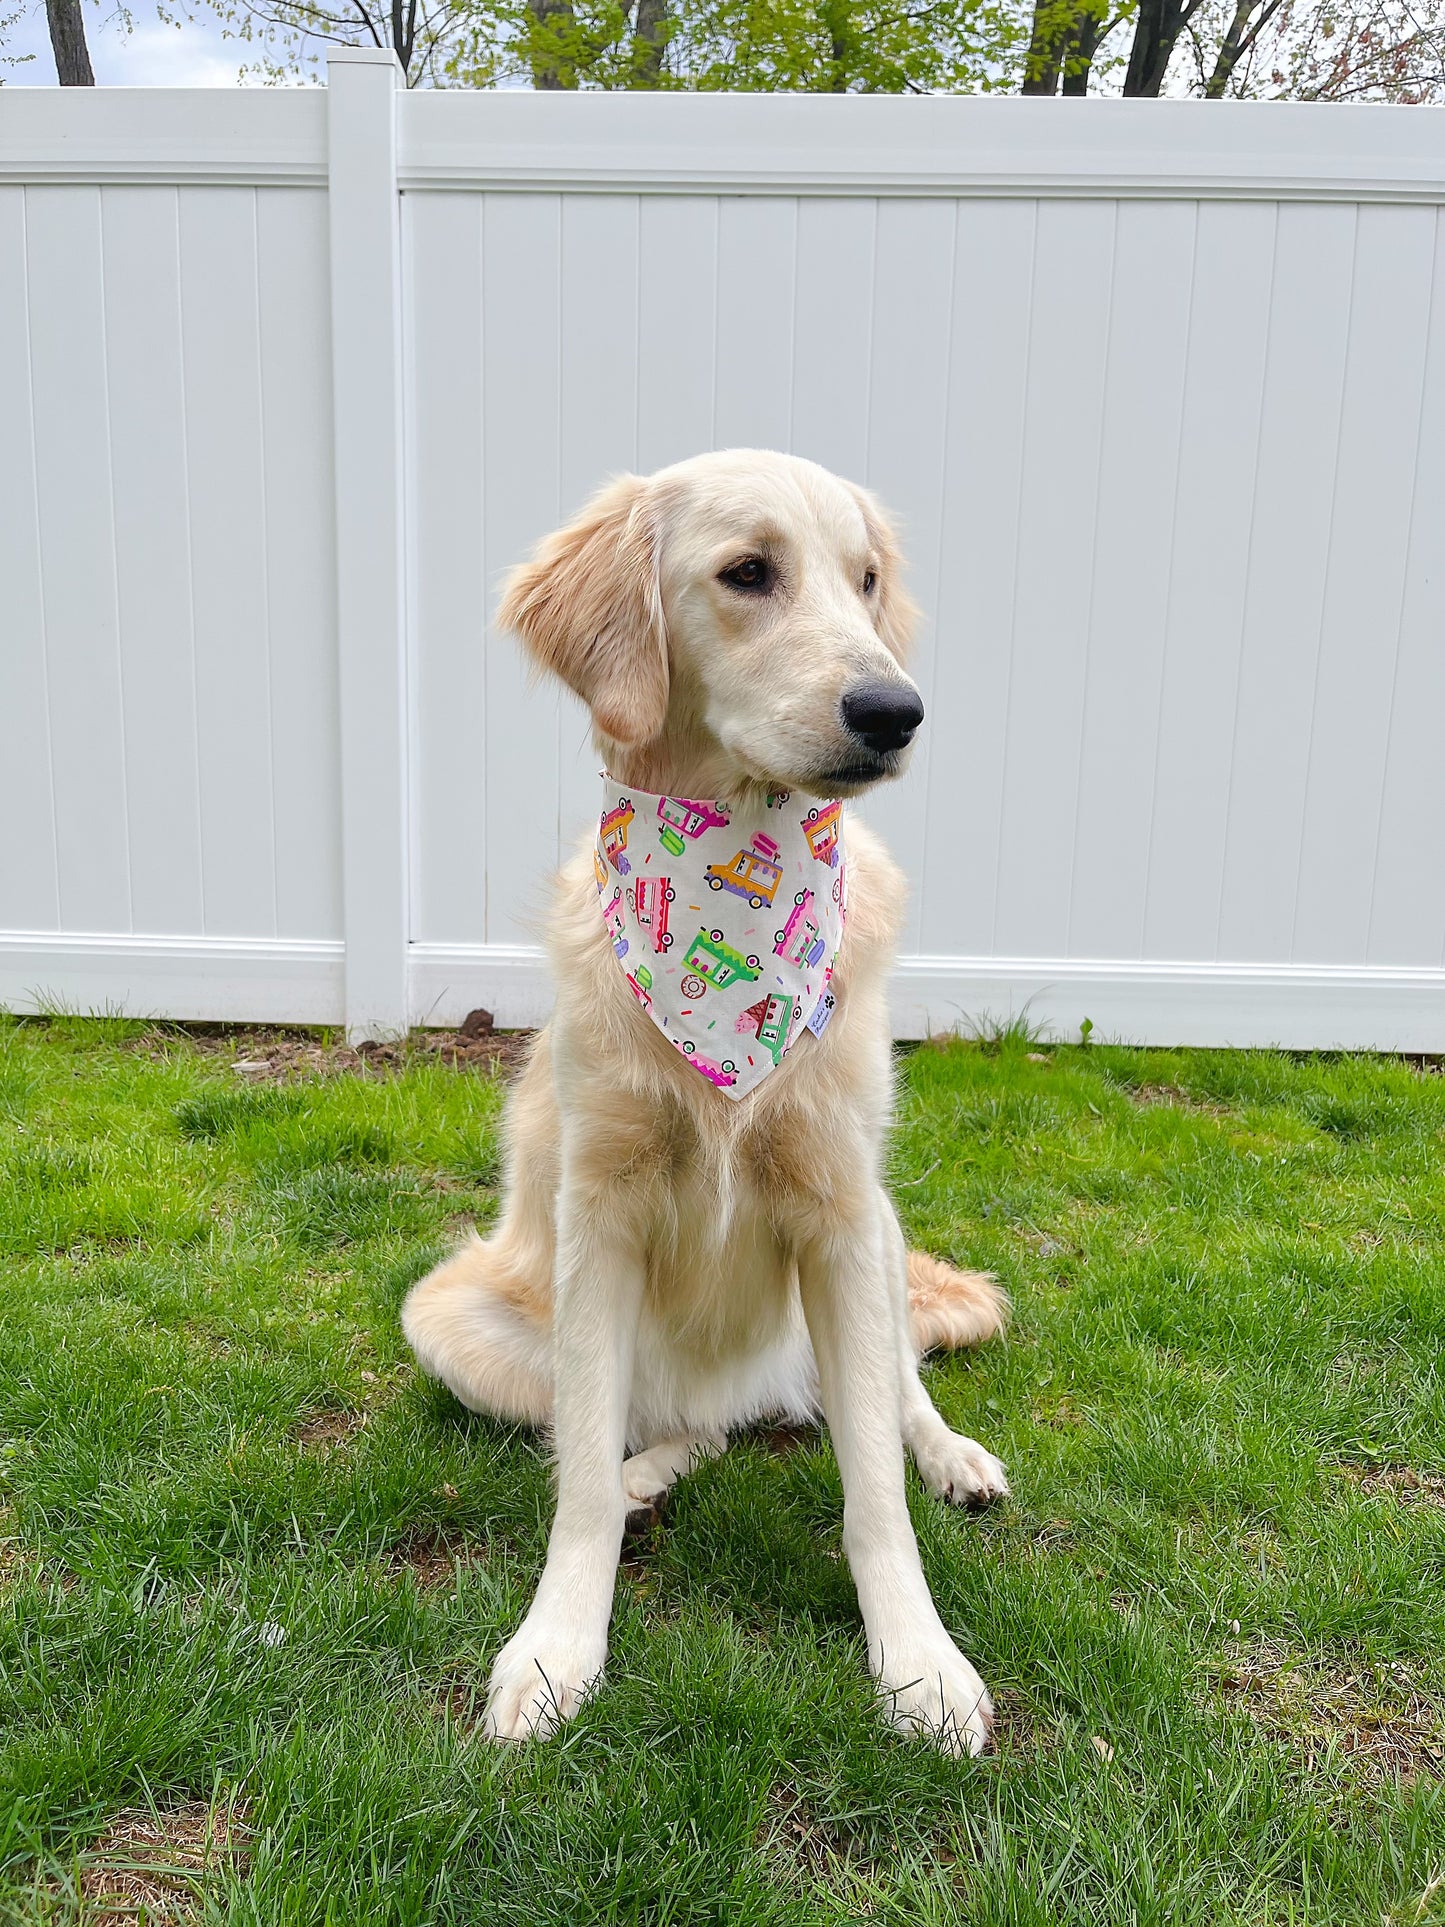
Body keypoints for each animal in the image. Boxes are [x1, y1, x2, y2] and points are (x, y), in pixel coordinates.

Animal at [402, 450, 1009, 1765]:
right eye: (746, 573)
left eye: (864, 579)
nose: (894, 710)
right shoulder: (598, 1214)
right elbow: (578, 1477)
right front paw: (556, 1648)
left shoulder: (838, 1211)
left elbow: (874, 1494)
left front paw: (919, 1663)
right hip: (453, 1318)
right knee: (661, 1434)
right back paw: (651, 1474)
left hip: (878, 1247)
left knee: (886, 1398)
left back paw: (951, 1453)